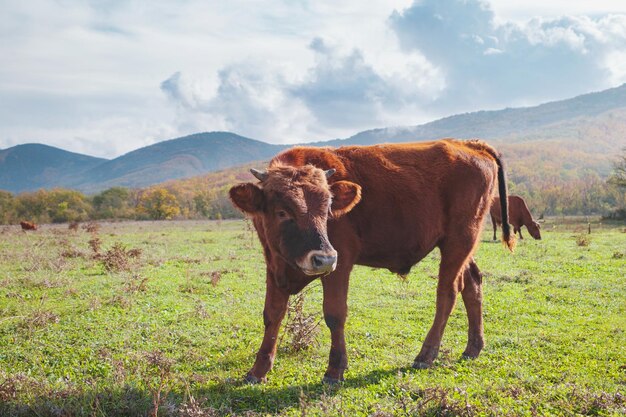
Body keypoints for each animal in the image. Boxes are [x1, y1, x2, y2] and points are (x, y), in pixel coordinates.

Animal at [228, 140, 512, 384]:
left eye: (327, 210)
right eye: (282, 212)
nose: (323, 258)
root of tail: (467, 144)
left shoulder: (340, 265)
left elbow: (335, 314)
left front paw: (335, 370)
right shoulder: (274, 266)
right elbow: (272, 315)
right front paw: (258, 370)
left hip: (458, 242)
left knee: (448, 293)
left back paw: (426, 355)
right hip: (463, 248)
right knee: (472, 285)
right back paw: (472, 348)